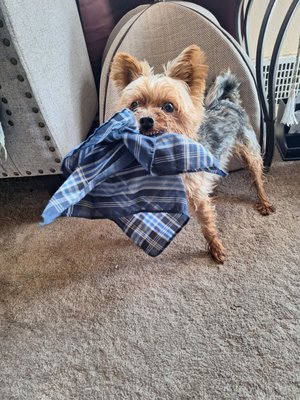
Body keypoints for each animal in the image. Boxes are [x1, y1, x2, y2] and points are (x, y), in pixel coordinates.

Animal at [109, 43, 274, 264]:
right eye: (134, 104)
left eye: (169, 107)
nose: (145, 120)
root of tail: (228, 100)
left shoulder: (197, 196)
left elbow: (207, 224)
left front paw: (215, 247)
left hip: (250, 152)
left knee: (257, 178)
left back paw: (264, 201)